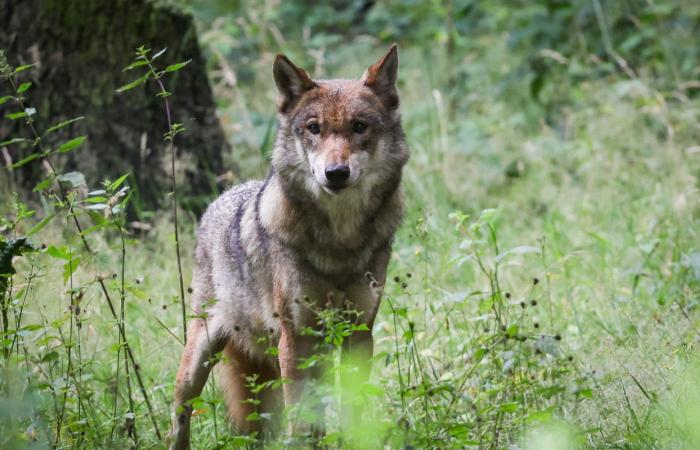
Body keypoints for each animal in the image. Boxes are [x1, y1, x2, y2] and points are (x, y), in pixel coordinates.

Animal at [167, 43, 410, 450]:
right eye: (314, 128)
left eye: (359, 127)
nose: (335, 173)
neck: (339, 243)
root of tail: (221, 199)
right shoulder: (296, 339)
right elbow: (302, 421)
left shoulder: (359, 333)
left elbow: (353, 411)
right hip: (200, 359)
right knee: (180, 412)